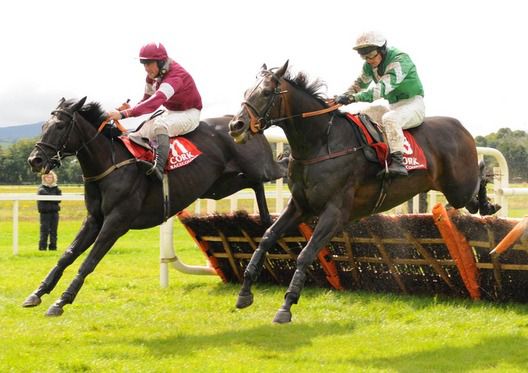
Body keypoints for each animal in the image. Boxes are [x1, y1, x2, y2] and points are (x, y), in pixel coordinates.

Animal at [24, 97, 288, 316]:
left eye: (59, 126)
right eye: (43, 126)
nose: (35, 160)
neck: (110, 164)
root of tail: (241, 123)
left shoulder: (117, 222)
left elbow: (89, 261)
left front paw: (62, 300)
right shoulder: (94, 220)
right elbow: (67, 255)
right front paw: (37, 293)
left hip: (259, 167)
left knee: (280, 168)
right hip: (220, 185)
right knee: (255, 183)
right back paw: (265, 219)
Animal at [228, 61, 500, 322]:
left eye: (265, 92)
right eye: (245, 92)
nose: (236, 125)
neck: (320, 144)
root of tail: (461, 128)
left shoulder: (335, 212)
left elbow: (306, 254)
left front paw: (286, 305)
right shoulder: (300, 206)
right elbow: (267, 237)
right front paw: (244, 292)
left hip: (458, 188)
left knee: (478, 182)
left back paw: (490, 200)